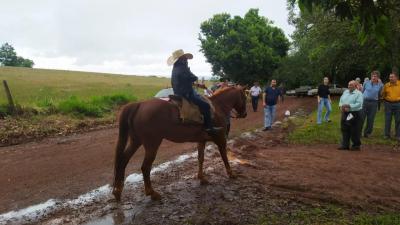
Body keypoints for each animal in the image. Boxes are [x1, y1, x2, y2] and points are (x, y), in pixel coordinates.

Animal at [111, 86, 247, 200]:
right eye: (244, 97)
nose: (244, 114)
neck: (218, 108)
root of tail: (139, 105)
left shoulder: (201, 141)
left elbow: (201, 158)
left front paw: (201, 178)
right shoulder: (221, 139)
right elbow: (224, 157)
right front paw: (231, 173)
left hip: (136, 141)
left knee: (123, 160)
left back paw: (118, 190)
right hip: (152, 144)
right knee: (145, 167)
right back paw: (151, 192)